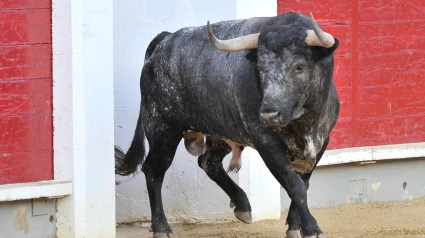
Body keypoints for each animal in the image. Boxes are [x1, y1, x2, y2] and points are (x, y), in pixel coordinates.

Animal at [114, 12, 340, 238]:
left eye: (299, 66)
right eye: (260, 68)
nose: (268, 114)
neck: (305, 122)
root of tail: (165, 40)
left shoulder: (323, 140)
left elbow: (304, 183)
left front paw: (294, 226)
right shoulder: (266, 143)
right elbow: (294, 185)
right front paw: (312, 229)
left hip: (219, 130)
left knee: (208, 162)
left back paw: (242, 205)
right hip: (161, 129)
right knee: (153, 171)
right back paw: (161, 227)